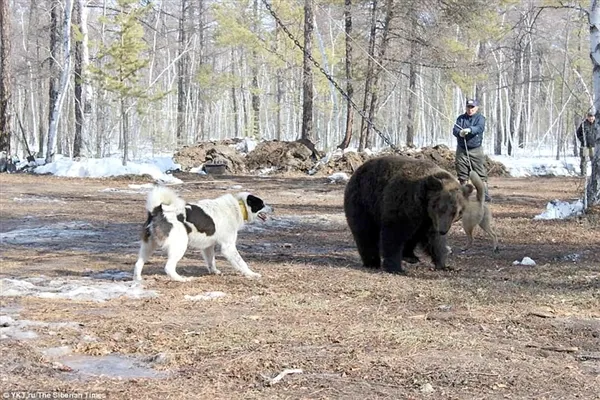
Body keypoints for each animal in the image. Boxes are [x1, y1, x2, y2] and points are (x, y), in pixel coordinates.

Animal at [135, 185, 274, 282]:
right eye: (262, 204)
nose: (273, 209)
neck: (239, 206)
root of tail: (157, 210)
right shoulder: (228, 247)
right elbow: (241, 262)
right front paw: (252, 274)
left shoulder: (208, 246)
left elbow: (211, 261)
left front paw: (214, 271)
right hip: (180, 246)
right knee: (168, 267)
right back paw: (182, 279)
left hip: (148, 247)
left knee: (138, 264)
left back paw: (138, 280)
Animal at [342, 155, 474, 274]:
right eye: (442, 208)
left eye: (457, 212)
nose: (443, 230)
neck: (423, 203)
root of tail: (356, 171)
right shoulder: (404, 203)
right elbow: (394, 234)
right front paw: (396, 268)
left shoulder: (429, 219)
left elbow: (435, 241)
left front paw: (445, 265)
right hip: (363, 201)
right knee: (365, 232)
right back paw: (372, 262)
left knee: (414, 235)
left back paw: (410, 256)